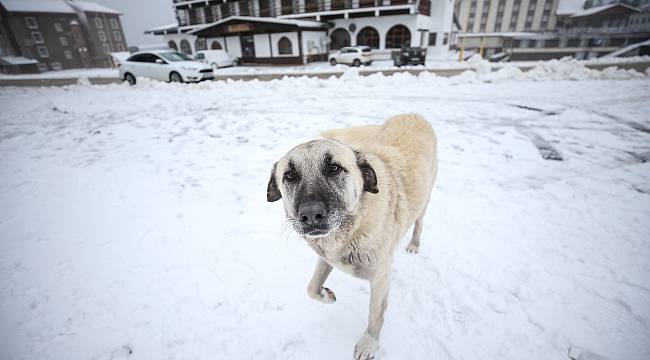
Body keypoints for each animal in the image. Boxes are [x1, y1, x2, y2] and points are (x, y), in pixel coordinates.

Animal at [266, 114, 438, 358]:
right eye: (290, 175)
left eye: (334, 168)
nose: (310, 215)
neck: (352, 228)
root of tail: (414, 115)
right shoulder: (327, 258)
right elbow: (311, 288)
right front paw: (326, 295)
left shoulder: (381, 277)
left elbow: (375, 315)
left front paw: (369, 344)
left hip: (424, 201)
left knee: (419, 223)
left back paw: (414, 244)